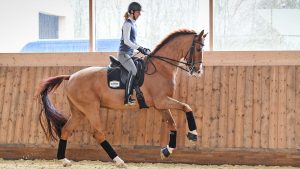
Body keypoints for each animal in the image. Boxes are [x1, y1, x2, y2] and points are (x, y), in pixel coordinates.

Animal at [36, 29, 207, 168]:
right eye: (199, 48)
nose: (198, 71)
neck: (161, 68)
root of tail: (71, 76)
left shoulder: (160, 105)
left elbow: (172, 124)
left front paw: (167, 151)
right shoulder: (162, 100)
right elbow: (187, 107)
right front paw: (193, 134)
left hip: (79, 112)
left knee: (66, 130)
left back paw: (64, 160)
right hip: (91, 109)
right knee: (98, 134)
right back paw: (119, 161)